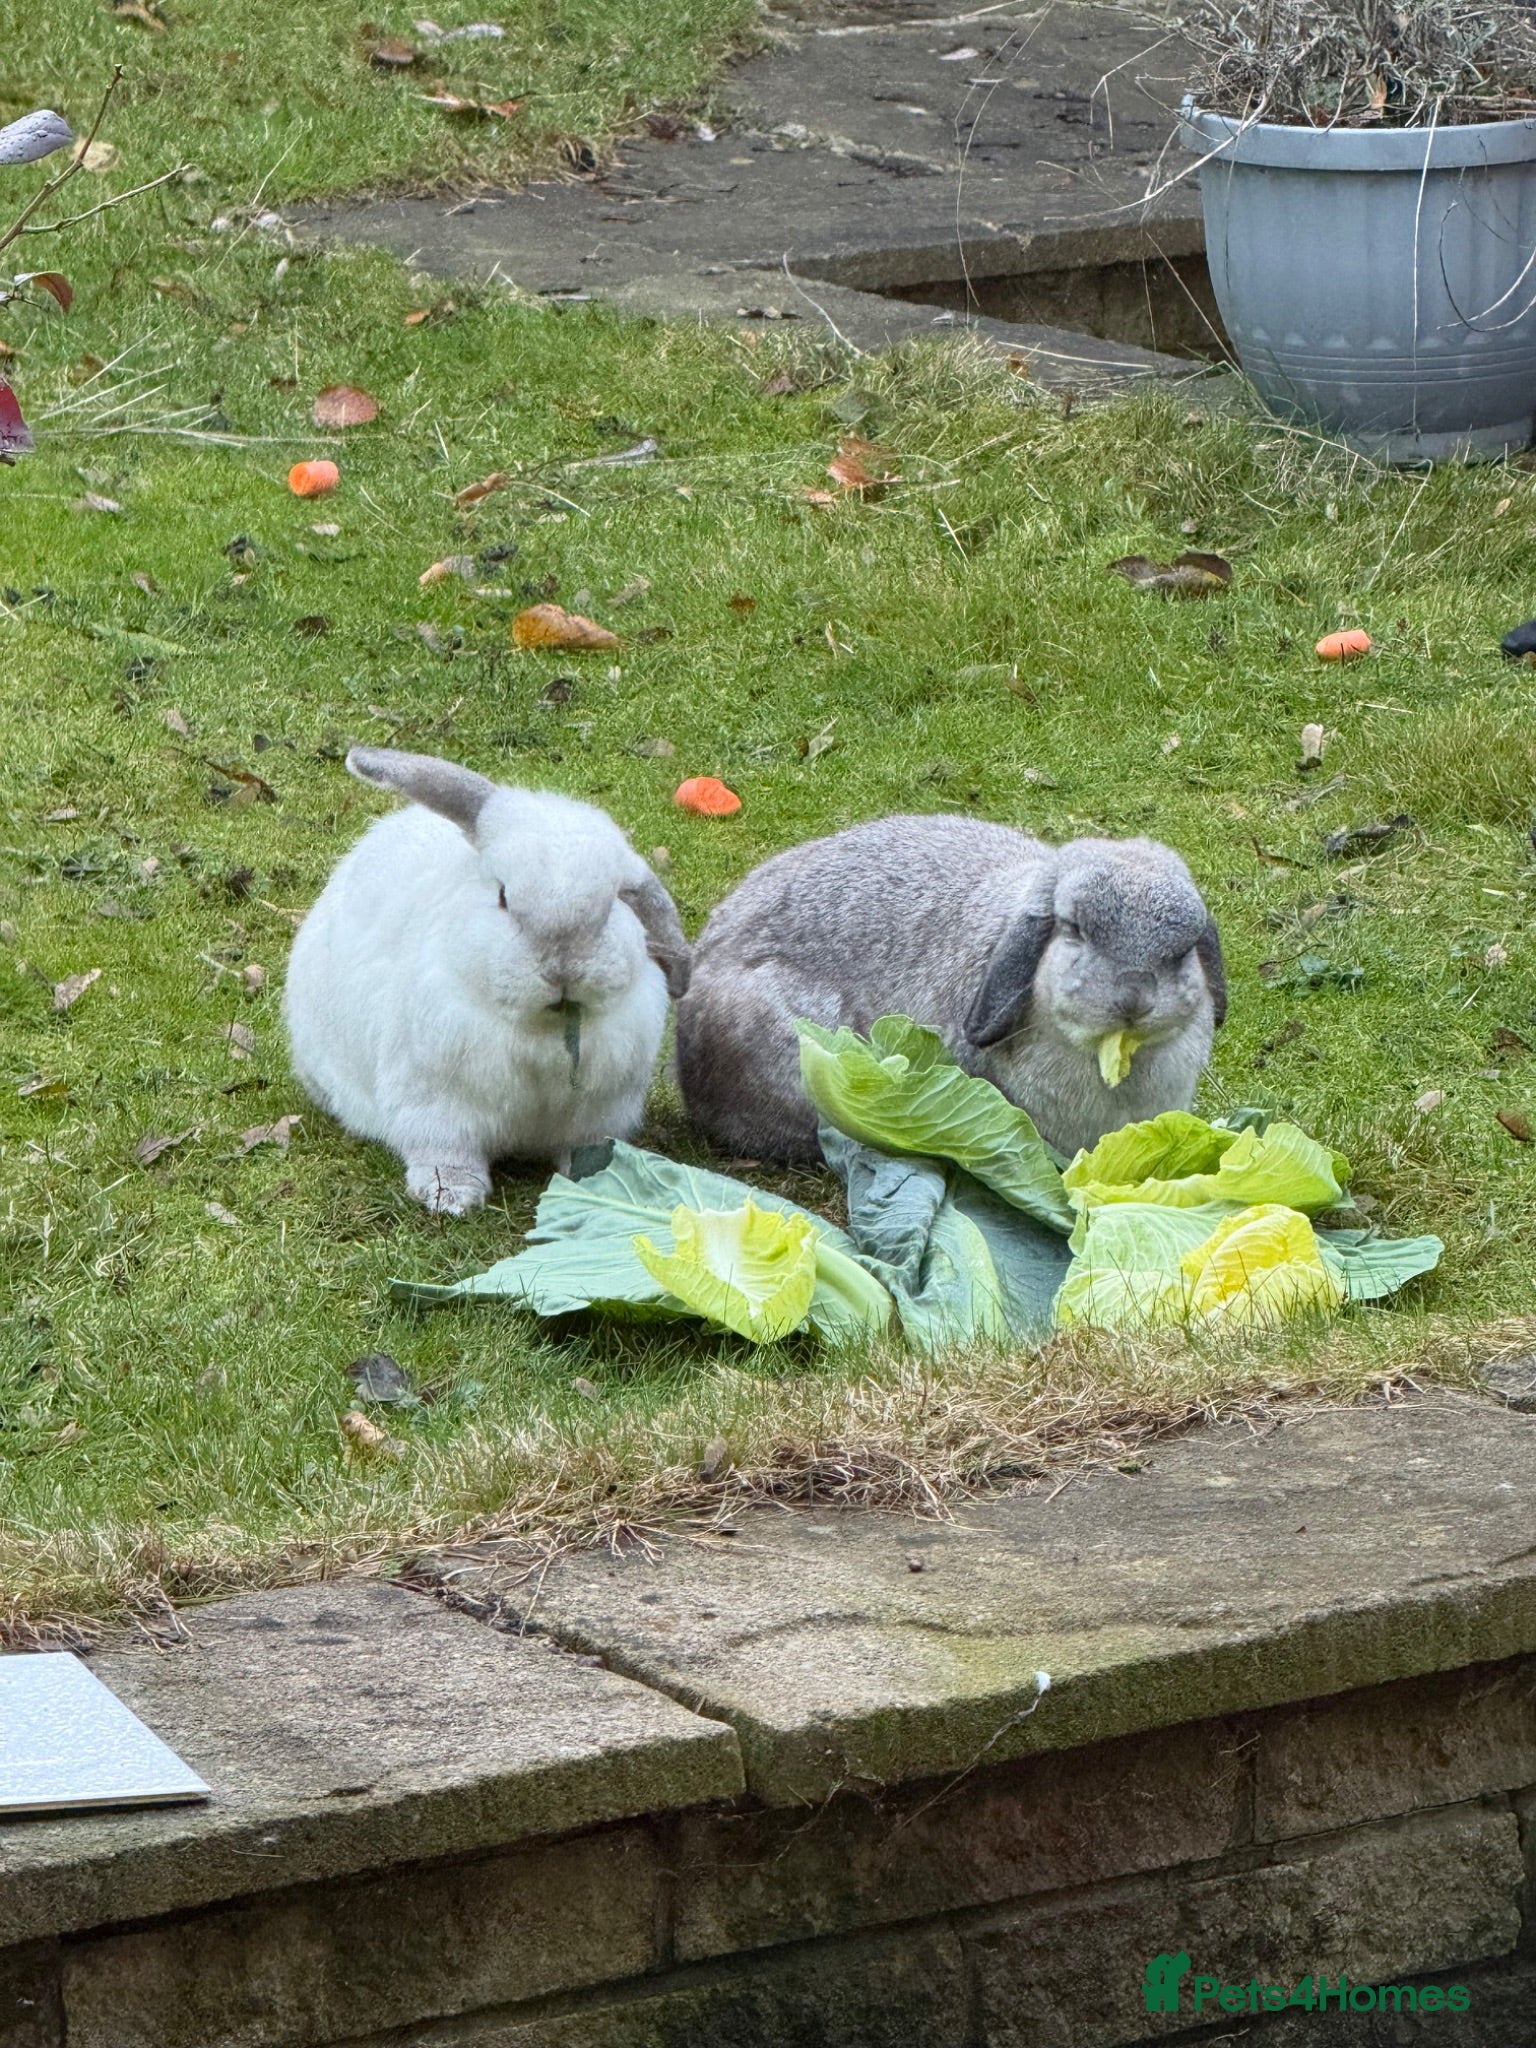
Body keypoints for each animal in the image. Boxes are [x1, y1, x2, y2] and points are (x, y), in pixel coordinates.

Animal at [284, 747, 691, 1214]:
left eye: (613, 904)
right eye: (503, 898)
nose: (562, 970)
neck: (543, 1029)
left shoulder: (597, 1116)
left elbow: (583, 1151)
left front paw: (596, 1182)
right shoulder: (438, 1108)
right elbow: (447, 1151)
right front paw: (451, 1196)